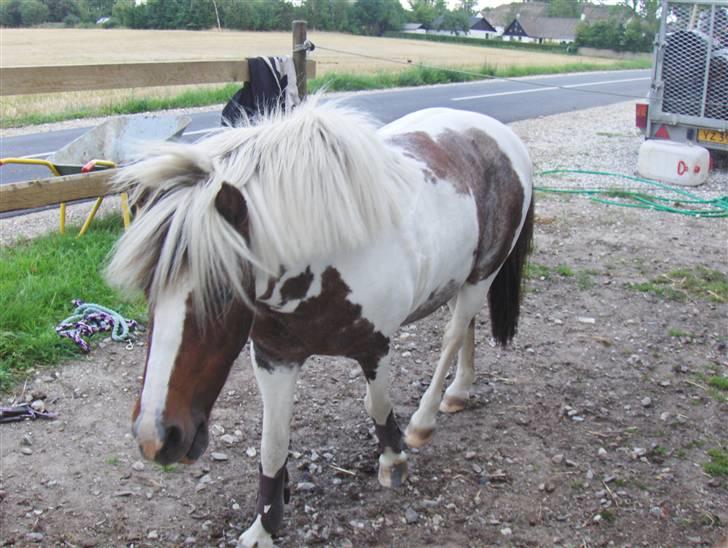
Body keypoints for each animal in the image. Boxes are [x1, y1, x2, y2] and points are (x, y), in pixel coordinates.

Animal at [105, 99, 532, 548]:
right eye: (148, 290)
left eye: (221, 292)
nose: (156, 437)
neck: (327, 253)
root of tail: (497, 134)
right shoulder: (274, 358)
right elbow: (273, 444)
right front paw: (264, 527)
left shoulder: (375, 348)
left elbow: (377, 405)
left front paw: (393, 459)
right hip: (460, 279)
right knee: (466, 329)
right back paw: (459, 393)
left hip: (483, 274)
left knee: (453, 334)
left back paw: (423, 421)